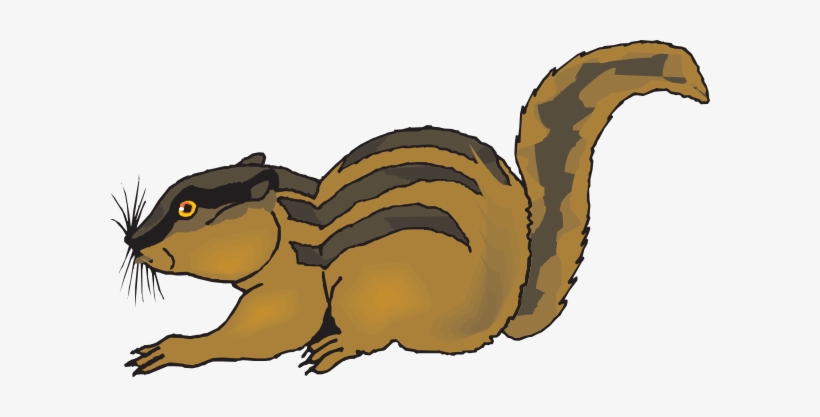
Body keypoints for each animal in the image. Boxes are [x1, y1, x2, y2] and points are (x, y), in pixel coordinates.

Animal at [117, 41, 709, 376]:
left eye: (188, 208)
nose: (132, 240)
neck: (289, 223)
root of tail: (499, 316)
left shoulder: (293, 289)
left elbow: (268, 333)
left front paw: (171, 349)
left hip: (373, 296)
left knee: (372, 339)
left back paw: (335, 348)